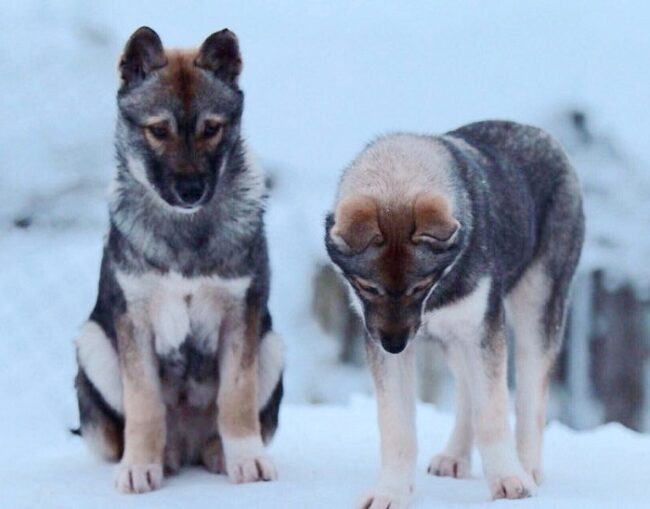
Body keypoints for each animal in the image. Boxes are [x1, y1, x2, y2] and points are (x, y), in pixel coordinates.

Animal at [73, 26, 280, 492]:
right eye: (158, 130)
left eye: (211, 128)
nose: (190, 191)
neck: (186, 232)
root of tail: (188, 446)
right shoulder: (134, 319)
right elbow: (145, 404)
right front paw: (139, 467)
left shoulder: (241, 313)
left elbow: (235, 398)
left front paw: (248, 460)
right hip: (92, 344)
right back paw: (162, 457)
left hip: (272, 346)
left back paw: (218, 452)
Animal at [324, 121, 584, 506]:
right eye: (367, 287)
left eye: (421, 285)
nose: (395, 344)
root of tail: (536, 132)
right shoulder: (385, 343)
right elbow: (397, 427)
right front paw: (391, 492)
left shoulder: (482, 331)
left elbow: (492, 414)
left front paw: (510, 481)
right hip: (453, 342)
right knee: (467, 393)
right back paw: (455, 456)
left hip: (534, 314)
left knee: (529, 397)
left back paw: (526, 466)